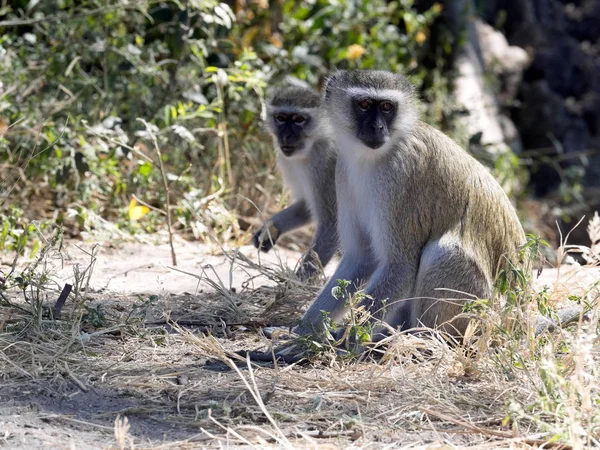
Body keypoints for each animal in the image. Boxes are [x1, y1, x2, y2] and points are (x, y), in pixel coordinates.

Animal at [296, 69, 524, 338]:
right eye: (364, 104)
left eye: (386, 107)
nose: (377, 127)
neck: (375, 156)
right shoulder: (342, 170)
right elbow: (362, 258)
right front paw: (305, 333)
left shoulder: (402, 172)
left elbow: (401, 266)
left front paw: (342, 339)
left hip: (480, 312)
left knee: (442, 252)